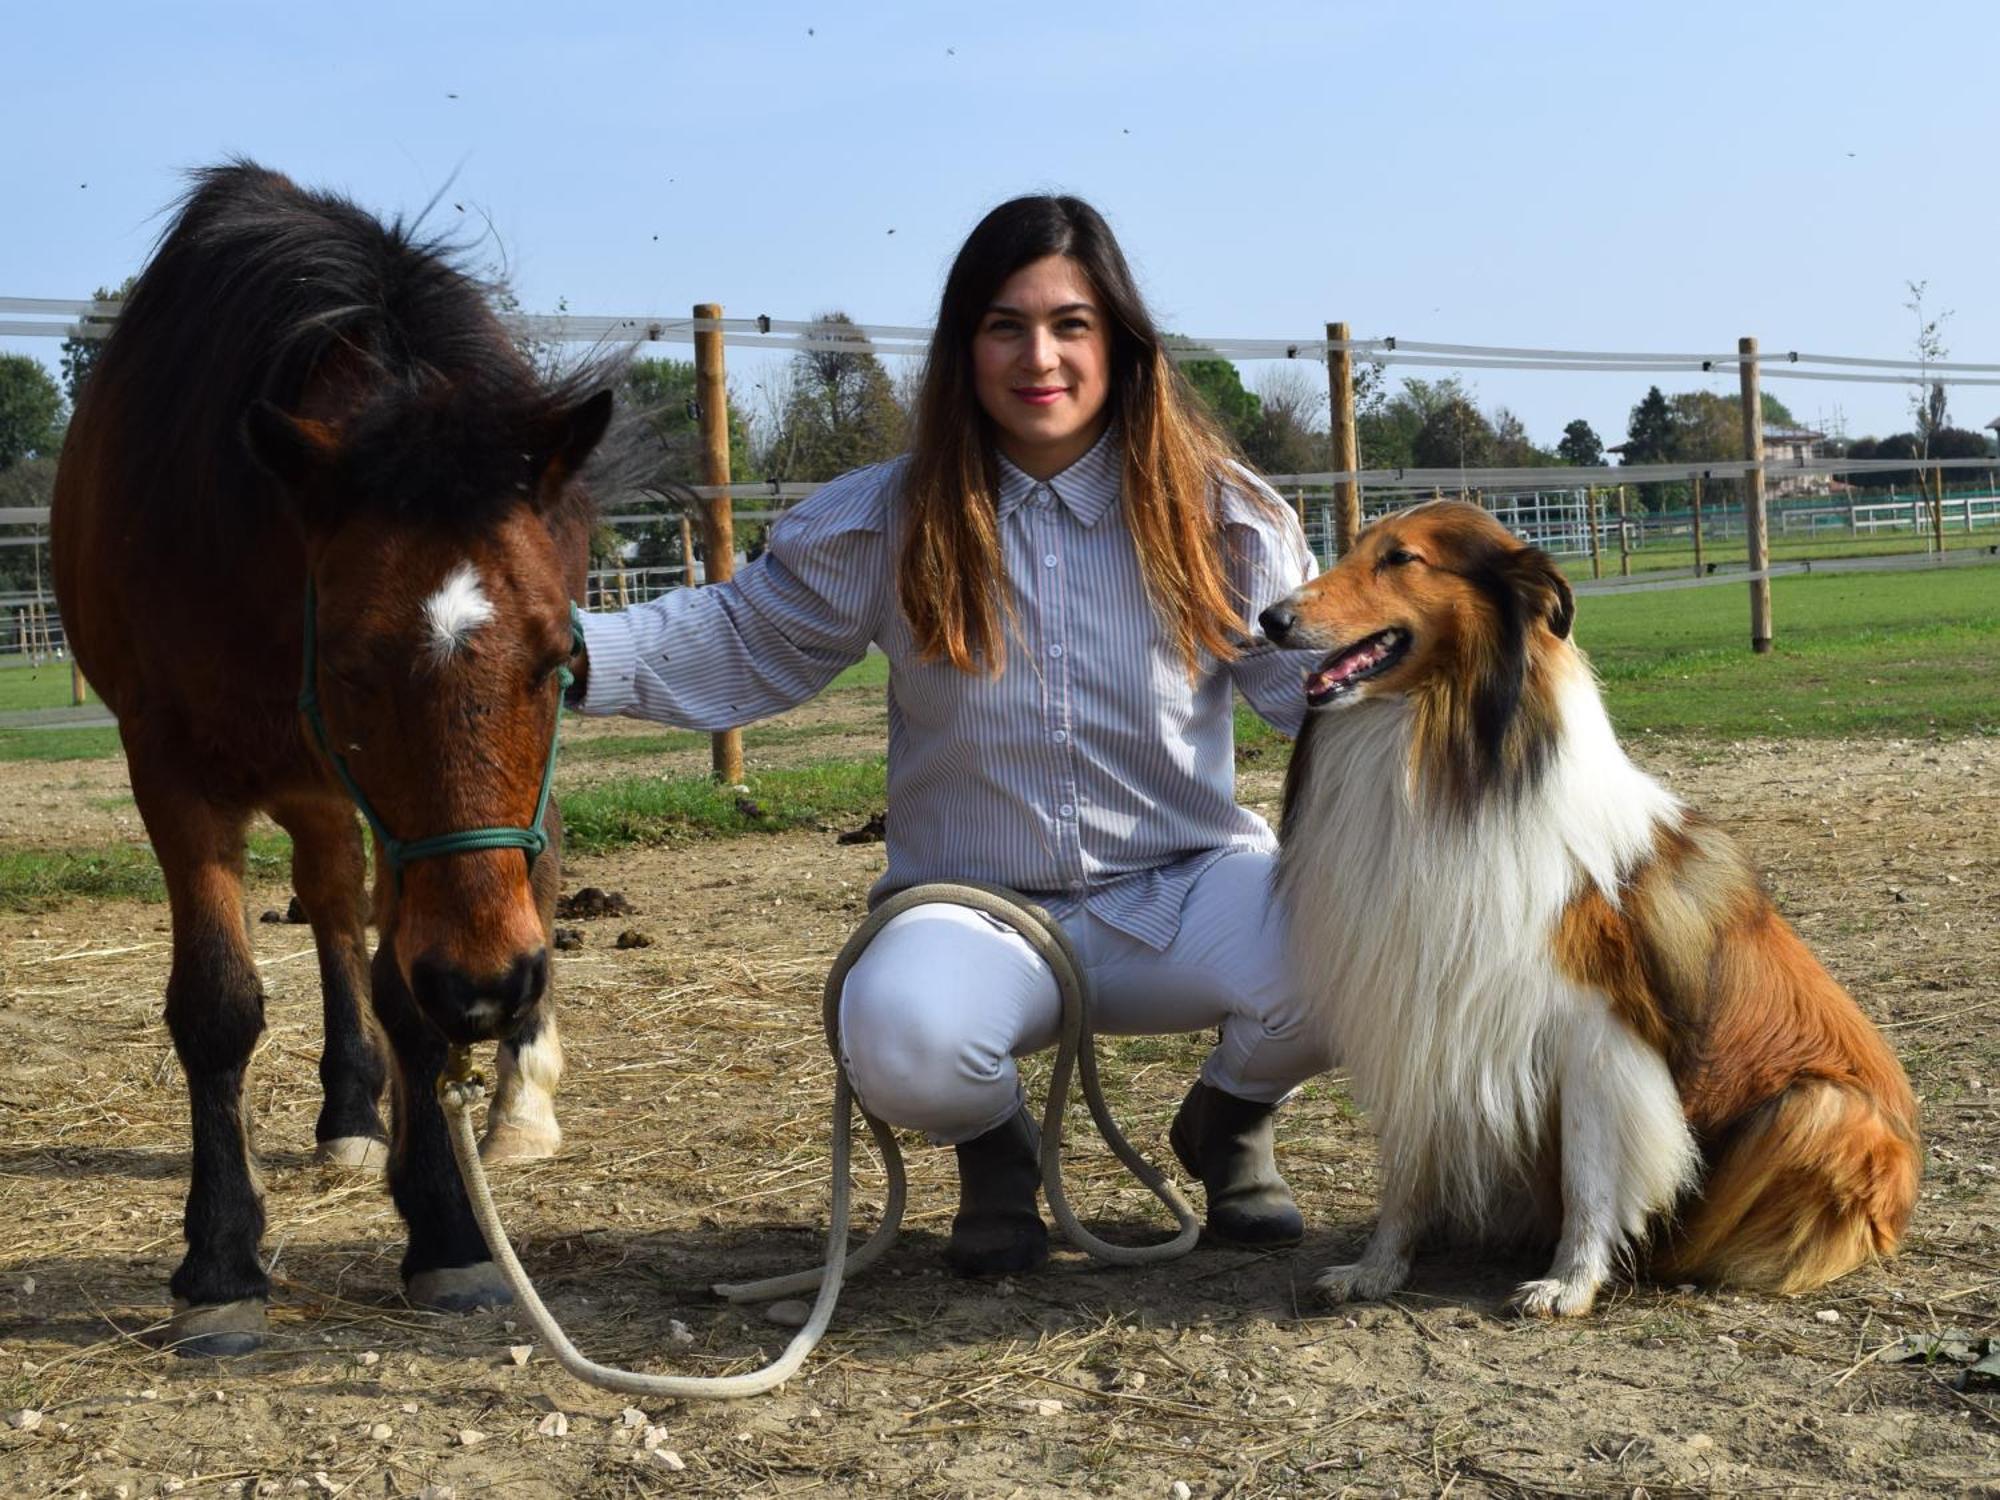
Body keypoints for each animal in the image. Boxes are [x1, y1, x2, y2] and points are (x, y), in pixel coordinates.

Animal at [50, 164, 612, 1360]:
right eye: (351, 665)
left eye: (553, 660)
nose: (488, 987)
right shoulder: (171, 770)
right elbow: (219, 1004)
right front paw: (220, 1263)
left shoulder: (432, 841)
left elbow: (408, 993)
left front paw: (445, 1230)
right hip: (312, 790)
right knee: (331, 905)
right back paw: (358, 1113)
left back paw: (497, 1103)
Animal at [1264, 502, 1920, 1312]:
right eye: (1352, 546)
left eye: (1401, 558)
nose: (1269, 618)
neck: (1452, 763)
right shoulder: (1424, 1012)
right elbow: (1407, 1173)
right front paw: (1378, 1267)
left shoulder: (1596, 1033)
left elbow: (1590, 1172)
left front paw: (1568, 1282)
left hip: (1815, 1106)